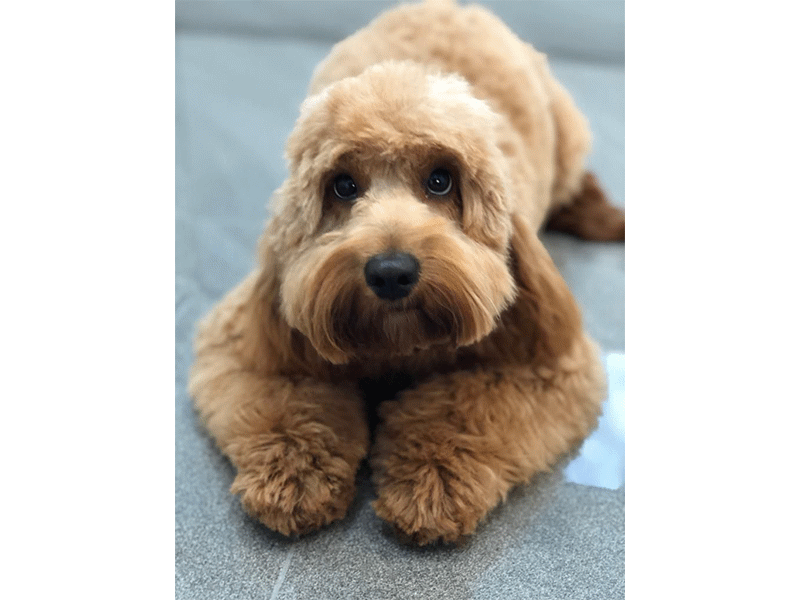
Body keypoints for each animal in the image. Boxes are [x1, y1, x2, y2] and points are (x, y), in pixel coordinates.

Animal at [189, 0, 623, 545]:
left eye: (441, 181)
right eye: (343, 185)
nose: (391, 272)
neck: (399, 346)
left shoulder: (548, 361)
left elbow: (462, 409)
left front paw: (432, 480)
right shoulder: (248, 339)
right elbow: (290, 399)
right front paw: (294, 471)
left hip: (567, 132)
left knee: (578, 179)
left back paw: (599, 216)